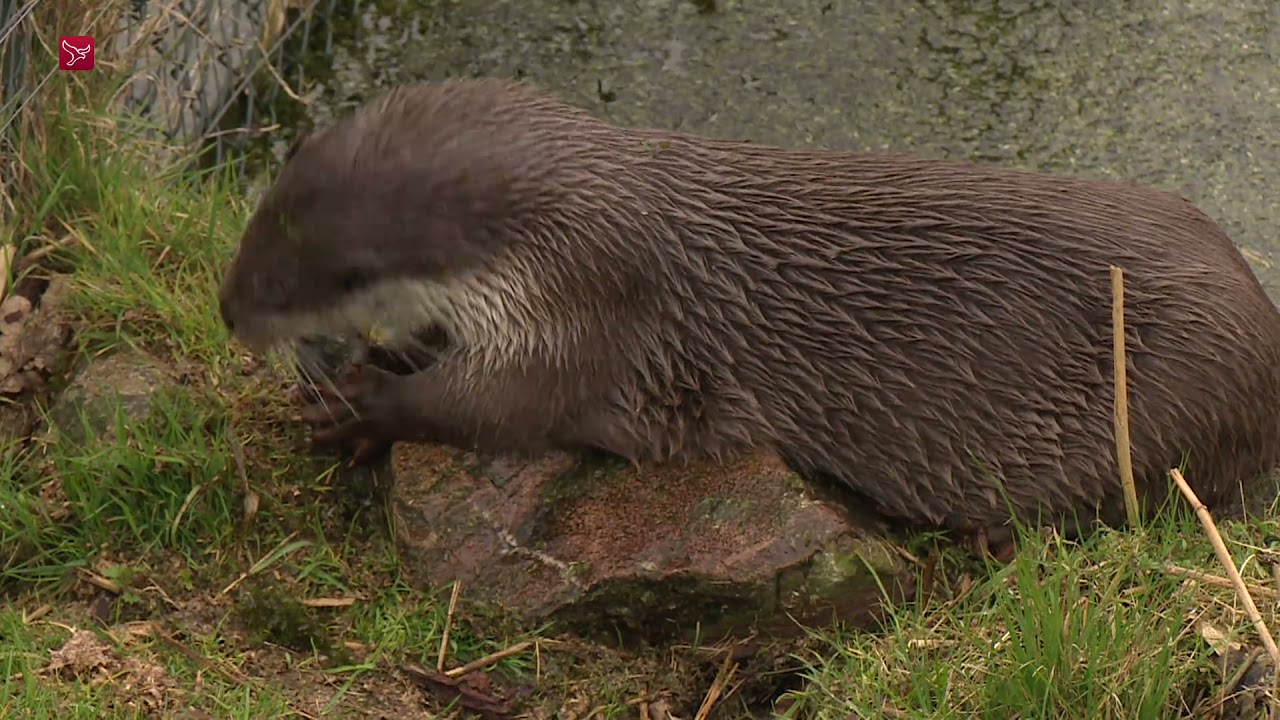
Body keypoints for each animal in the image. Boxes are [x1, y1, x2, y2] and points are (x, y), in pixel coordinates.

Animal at [217, 78, 1280, 555]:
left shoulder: (588, 321)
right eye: (253, 226)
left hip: (1169, 402)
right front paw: (375, 381)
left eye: (304, 281)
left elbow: (496, 409)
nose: (227, 312)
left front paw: (362, 409)